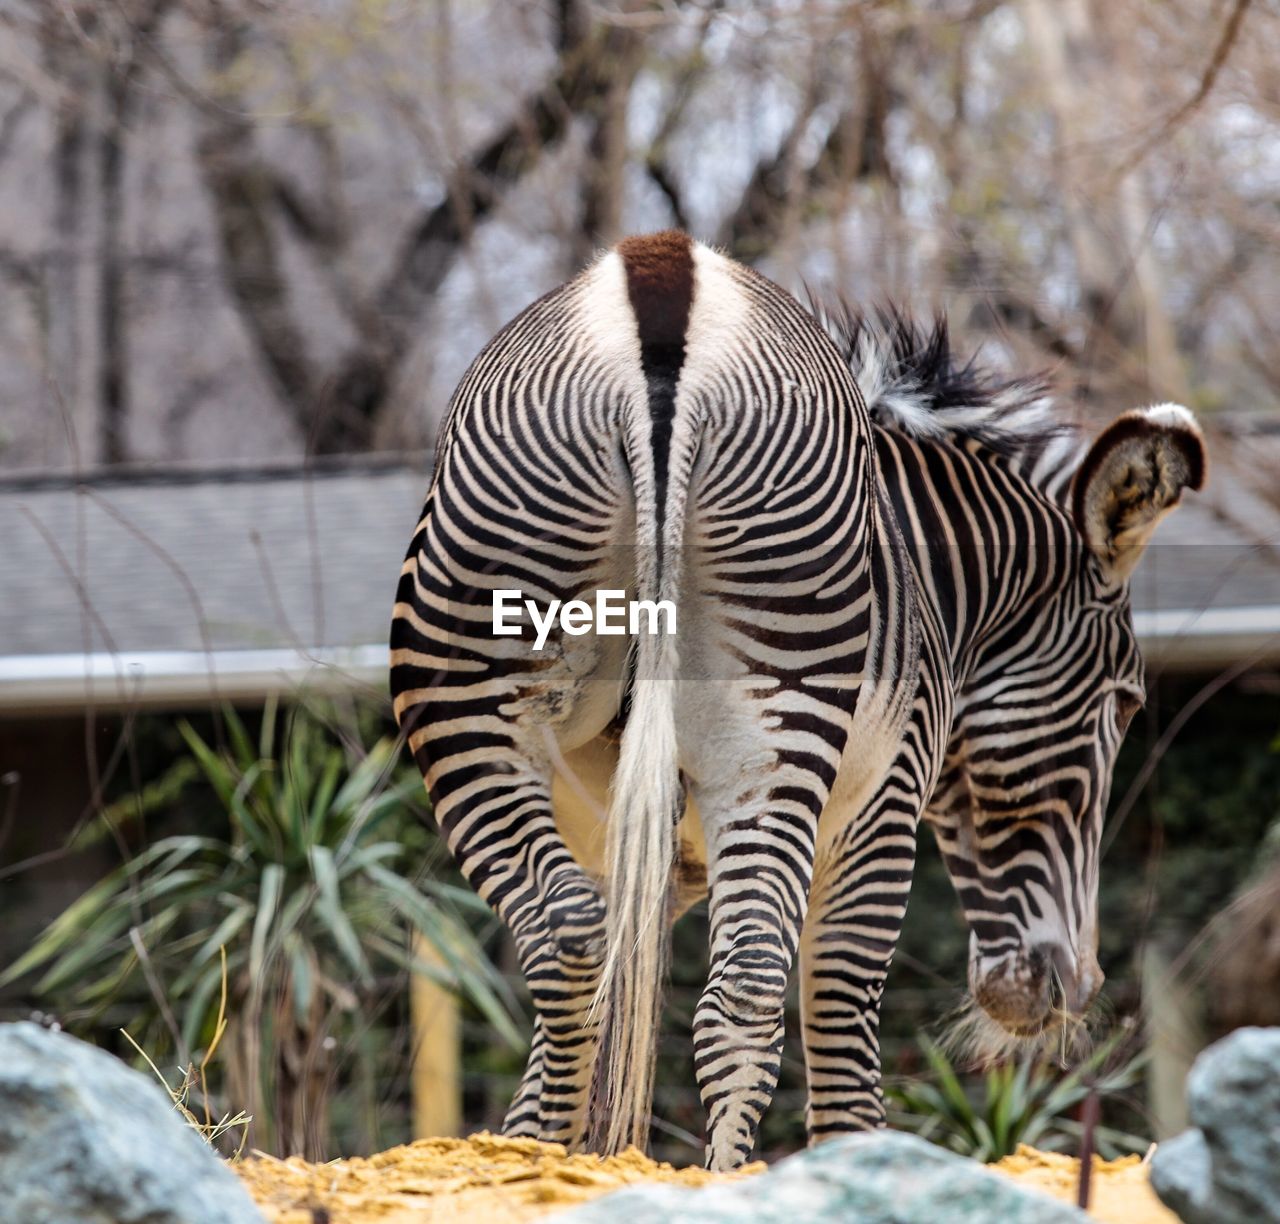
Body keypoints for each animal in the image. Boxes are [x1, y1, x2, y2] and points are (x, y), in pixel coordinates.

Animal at [386, 226, 1198, 1167]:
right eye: (1126, 704)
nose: (1073, 986)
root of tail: (663, 289)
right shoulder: (881, 800)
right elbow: (843, 1047)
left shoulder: (650, 852)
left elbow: (594, 1039)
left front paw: (564, 1158)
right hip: (770, 723)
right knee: (743, 985)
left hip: (479, 686)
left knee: (572, 938)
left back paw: (544, 1171)